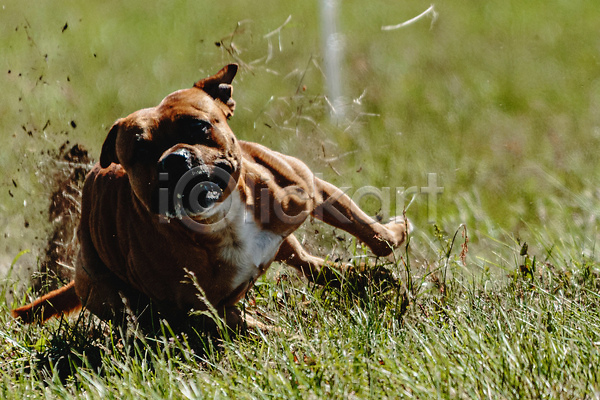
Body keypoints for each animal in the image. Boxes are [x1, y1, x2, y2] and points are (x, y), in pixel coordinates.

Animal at [11, 63, 410, 332]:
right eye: (140, 151)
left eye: (199, 126)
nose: (173, 158)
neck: (221, 220)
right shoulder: (199, 308)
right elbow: (245, 325)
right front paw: (284, 336)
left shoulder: (308, 187)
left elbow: (373, 234)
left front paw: (395, 232)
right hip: (101, 287)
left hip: (284, 239)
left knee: (306, 262)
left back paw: (359, 278)